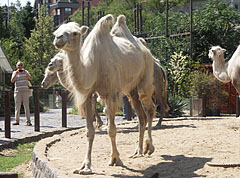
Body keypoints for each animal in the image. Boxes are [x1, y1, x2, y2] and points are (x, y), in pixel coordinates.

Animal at [53, 15, 156, 175]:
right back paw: (138, 151)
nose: (58, 39)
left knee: (150, 107)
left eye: (75, 33)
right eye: (56, 31)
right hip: (131, 90)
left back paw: (149, 147)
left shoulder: (111, 93)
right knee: (141, 116)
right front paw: (85, 167)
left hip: (146, 76)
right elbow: (89, 131)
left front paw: (115, 159)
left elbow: (111, 130)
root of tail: (144, 46)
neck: (94, 66)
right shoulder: (88, 95)